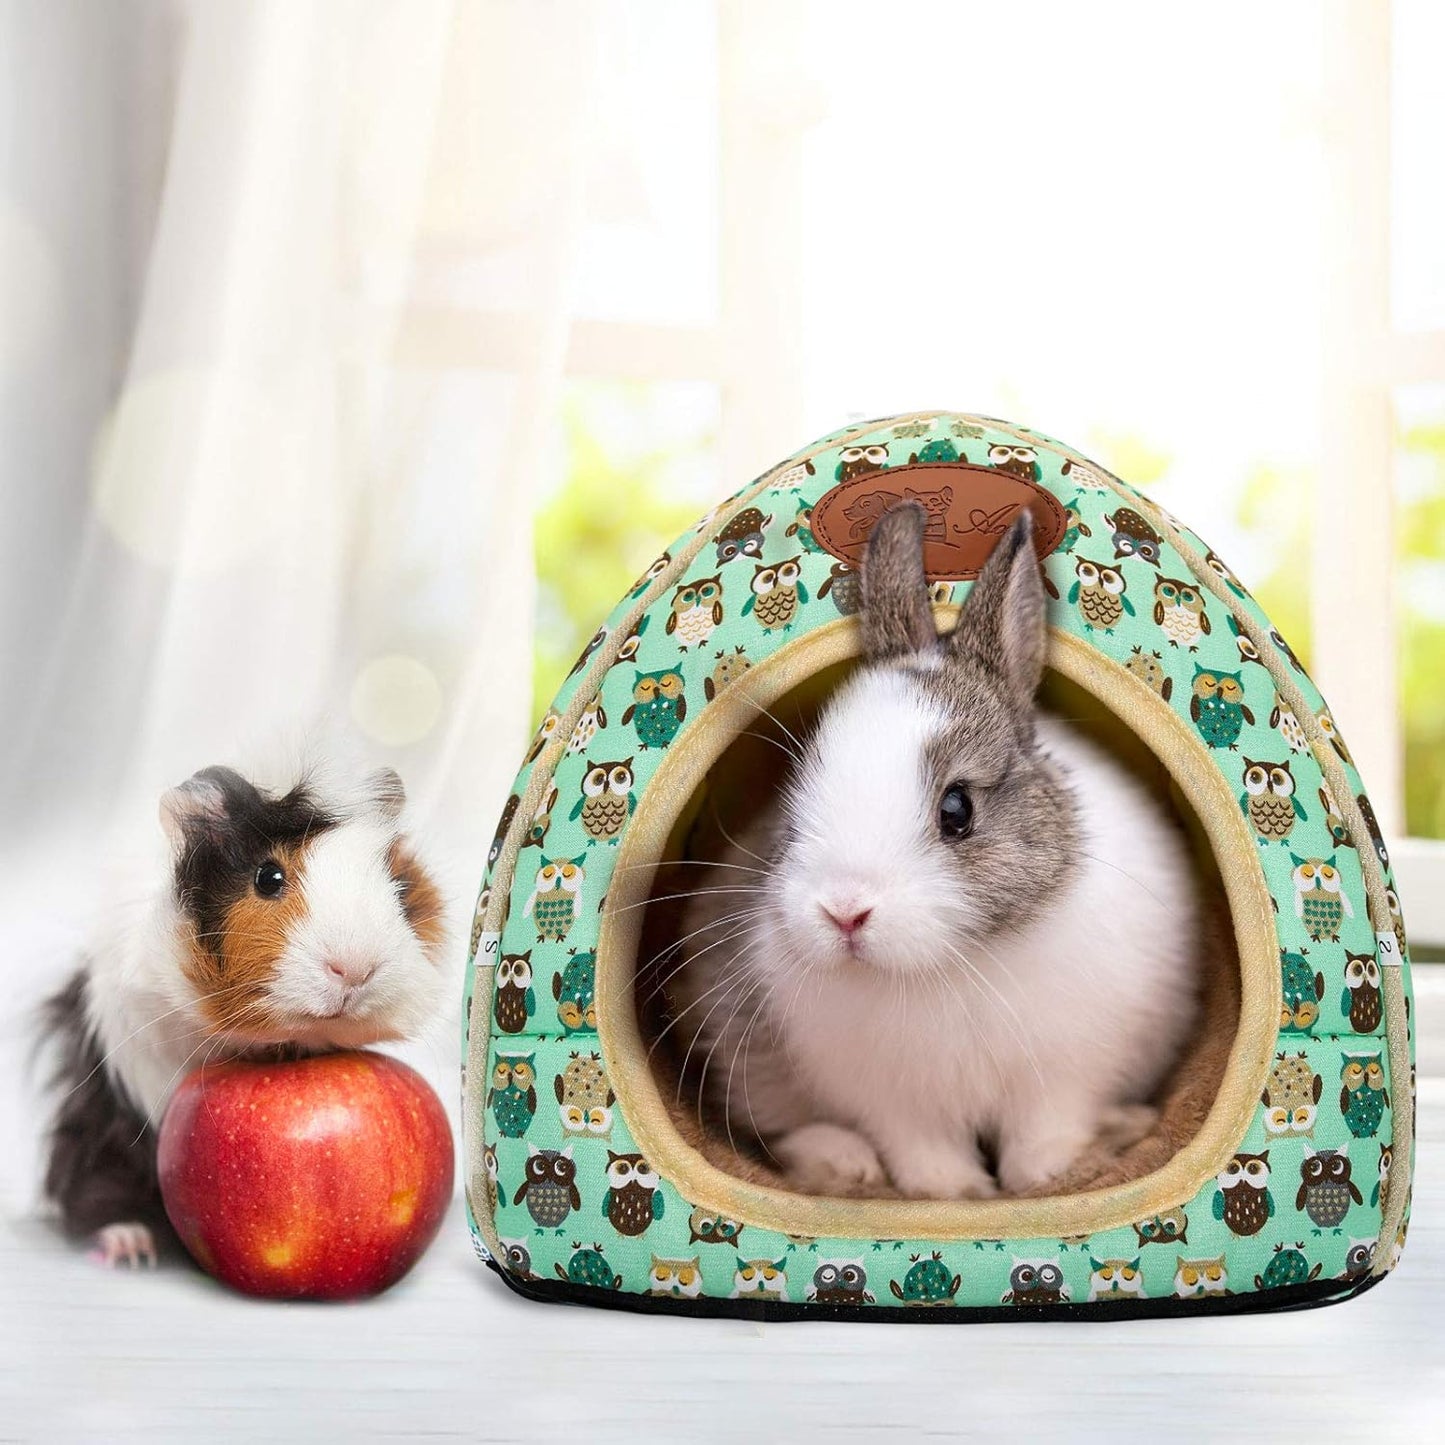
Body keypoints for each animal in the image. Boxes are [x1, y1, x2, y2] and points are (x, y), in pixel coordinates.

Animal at [671, 502, 1200, 1199]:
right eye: (796, 792)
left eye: (957, 809)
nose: (844, 912)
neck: (945, 965)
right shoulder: (892, 1104)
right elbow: (922, 1151)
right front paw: (956, 1193)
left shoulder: (1065, 1075)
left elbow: (1044, 1134)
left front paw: (1044, 1178)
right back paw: (842, 1162)